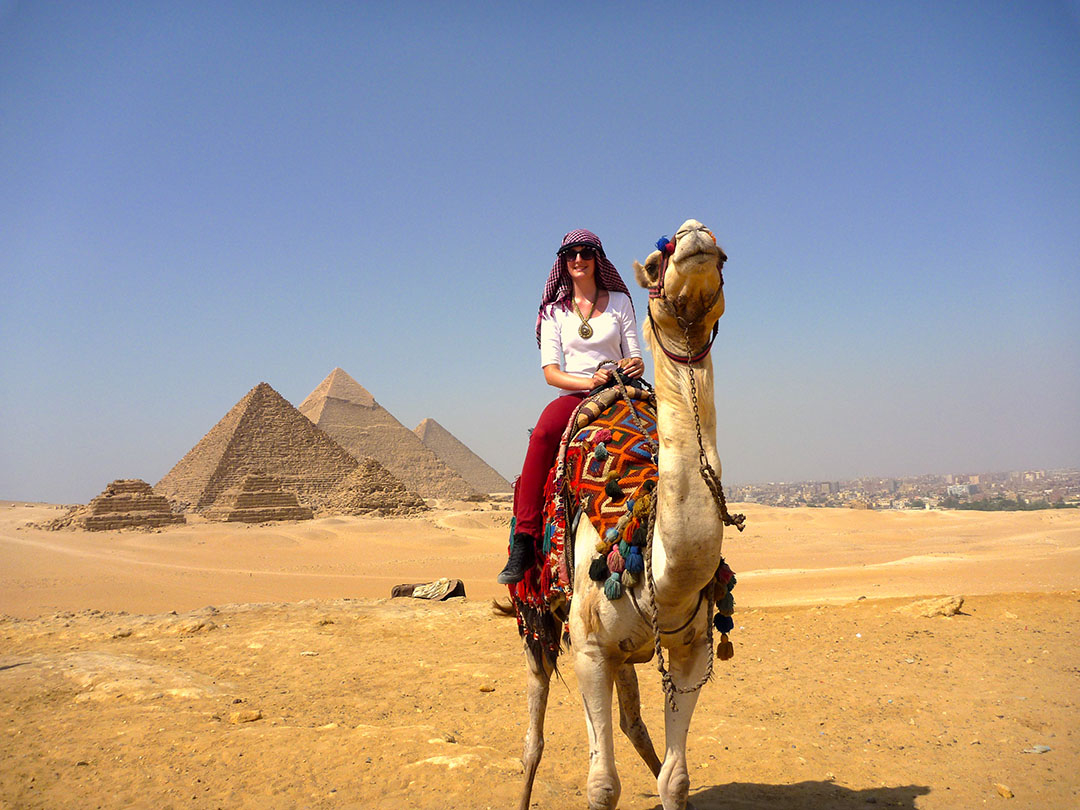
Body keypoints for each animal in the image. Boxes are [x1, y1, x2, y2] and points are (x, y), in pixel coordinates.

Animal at [511, 217, 734, 810]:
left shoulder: (689, 651)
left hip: (629, 651)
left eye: (723, 256)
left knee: (633, 721)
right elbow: (602, 785)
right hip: (536, 617)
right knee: (533, 733)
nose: (693, 233)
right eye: (655, 264)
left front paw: (673, 786)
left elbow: (676, 779)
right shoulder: (589, 651)